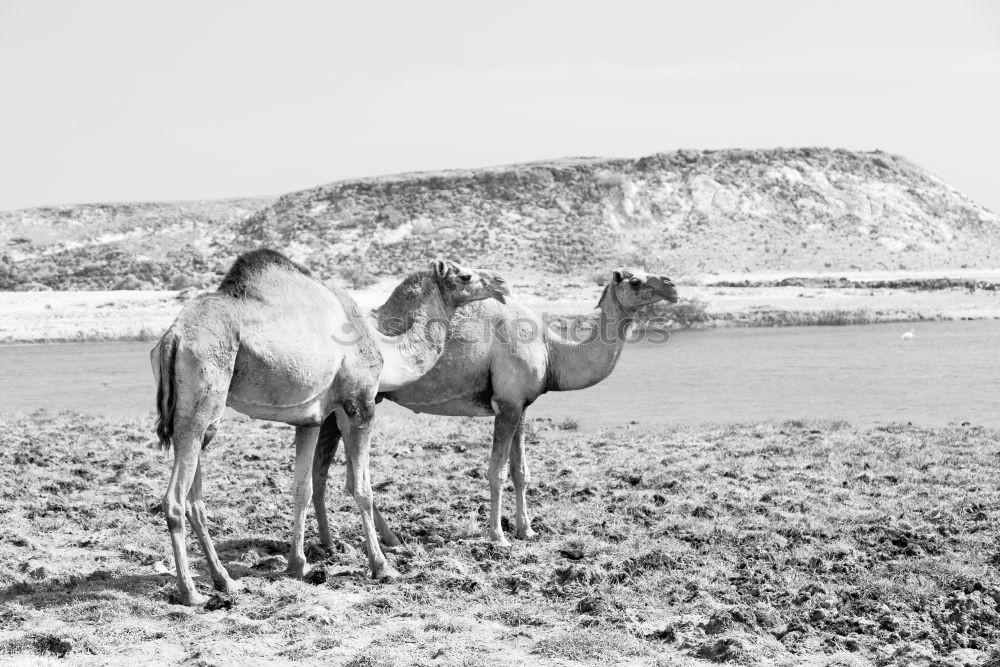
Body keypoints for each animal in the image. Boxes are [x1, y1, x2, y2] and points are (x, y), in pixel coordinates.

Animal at [148, 250, 508, 604]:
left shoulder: (310, 419)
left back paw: (225, 581)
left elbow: (302, 489)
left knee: (195, 494)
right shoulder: (358, 404)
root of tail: (172, 337)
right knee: (175, 498)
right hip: (204, 388)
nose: (502, 283)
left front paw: (297, 565)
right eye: (465, 275)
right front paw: (382, 566)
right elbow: (361, 488)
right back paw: (191, 592)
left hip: (201, 415)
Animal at [310, 266, 680, 548]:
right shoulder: (507, 404)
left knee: (326, 470)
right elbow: (497, 471)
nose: (672, 286)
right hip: (359, 397)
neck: (552, 351)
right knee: (340, 471)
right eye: (635, 281)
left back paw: (345, 542)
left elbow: (521, 471)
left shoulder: (521, 406)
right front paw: (498, 536)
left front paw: (527, 530)